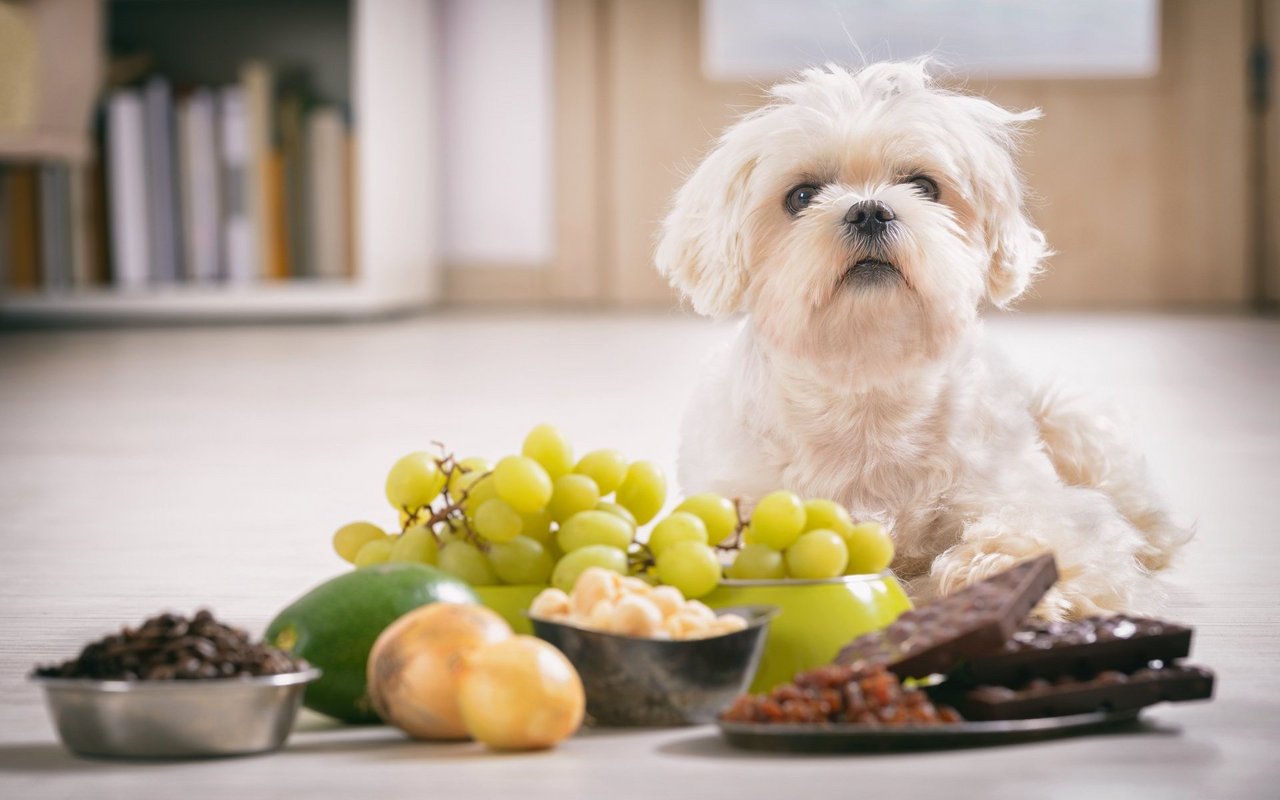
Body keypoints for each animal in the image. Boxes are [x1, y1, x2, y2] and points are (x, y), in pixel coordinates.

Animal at [660, 62, 1187, 622]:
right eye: (801, 196)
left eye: (923, 185)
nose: (869, 211)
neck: (868, 380)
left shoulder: (1036, 502)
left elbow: (1038, 534)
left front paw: (1002, 577)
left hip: (1067, 421)